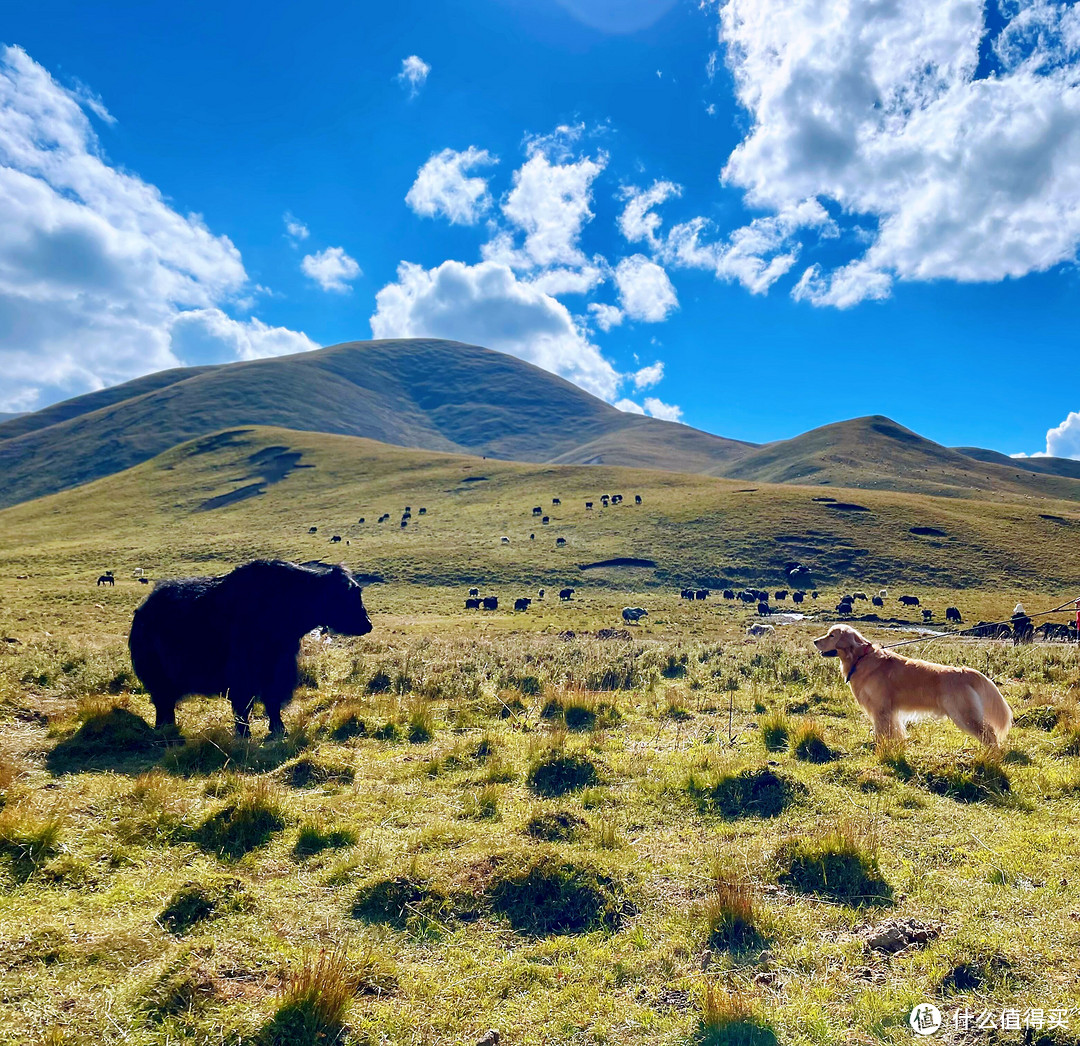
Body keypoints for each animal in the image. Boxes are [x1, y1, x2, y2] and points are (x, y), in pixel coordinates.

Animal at [127, 561, 367, 734]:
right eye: (347, 595)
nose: (368, 624)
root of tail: (142, 610)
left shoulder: (278, 667)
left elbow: (272, 700)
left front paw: (279, 730)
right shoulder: (244, 672)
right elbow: (244, 704)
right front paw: (244, 734)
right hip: (157, 673)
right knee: (162, 701)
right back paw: (163, 730)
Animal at [816, 621, 1010, 742]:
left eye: (831, 635)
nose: (815, 641)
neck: (861, 658)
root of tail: (965, 671)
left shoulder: (881, 708)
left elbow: (882, 733)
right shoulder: (890, 712)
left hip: (964, 715)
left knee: (990, 735)